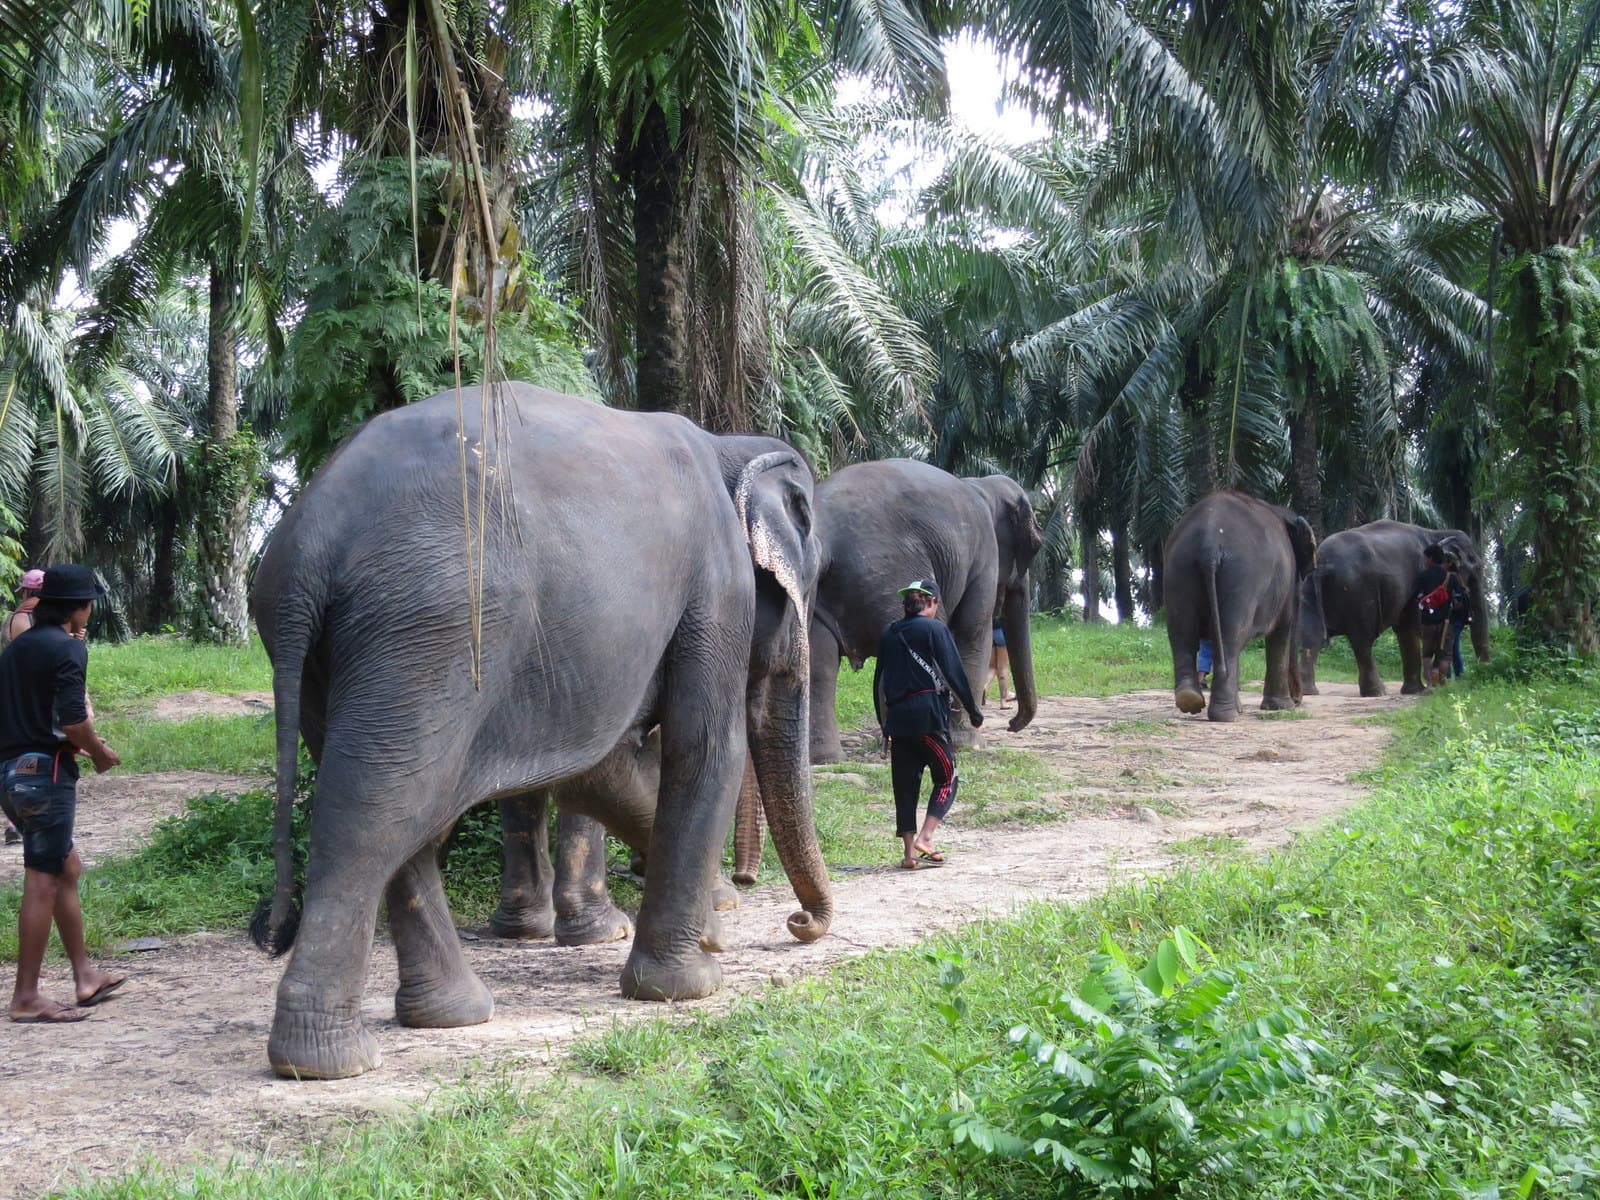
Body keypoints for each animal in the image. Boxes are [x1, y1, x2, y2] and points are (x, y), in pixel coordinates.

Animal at [806, 460, 1043, 761]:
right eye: (1035, 547)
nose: (1012, 724)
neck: (980, 484)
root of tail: (824, 540)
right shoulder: (985, 556)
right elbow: (971, 634)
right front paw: (970, 744)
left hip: (822, 588)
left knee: (819, 664)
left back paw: (827, 758)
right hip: (888, 571)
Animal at [1164, 489, 1312, 723]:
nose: (1298, 700)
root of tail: (1209, 544)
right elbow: (1282, 631)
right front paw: (1282, 707)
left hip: (1178, 567)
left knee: (1183, 635)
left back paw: (1190, 700)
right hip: (1242, 577)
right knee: (1231, 638)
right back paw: (1226, 715)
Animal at [1292, 524, 1491, 694]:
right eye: (1475, 566)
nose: (1480, 671)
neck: (1435, 532)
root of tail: (1323, 564)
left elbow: (1405, 629)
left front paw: (1415, 690)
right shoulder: (1418, 581)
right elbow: (1411, 627)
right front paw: (1420, 690)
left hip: (1309, 589)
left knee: (1312, 635)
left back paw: (1309, 691)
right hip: (1359, 593)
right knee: (1362, 640)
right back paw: (1377, 692)